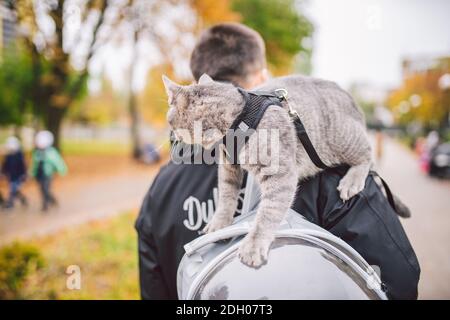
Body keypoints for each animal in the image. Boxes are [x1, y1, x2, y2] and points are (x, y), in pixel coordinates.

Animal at [162, 73, 372, 268]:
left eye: (169, 119)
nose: (170, 138)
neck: (235, 124)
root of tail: (350, 98)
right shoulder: (228, 165)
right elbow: (226, 196)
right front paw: (219, 223)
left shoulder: (281, 173)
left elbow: (268, 211)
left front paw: (254, 244)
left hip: (343, 140)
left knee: (367, 154)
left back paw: (352, 181)